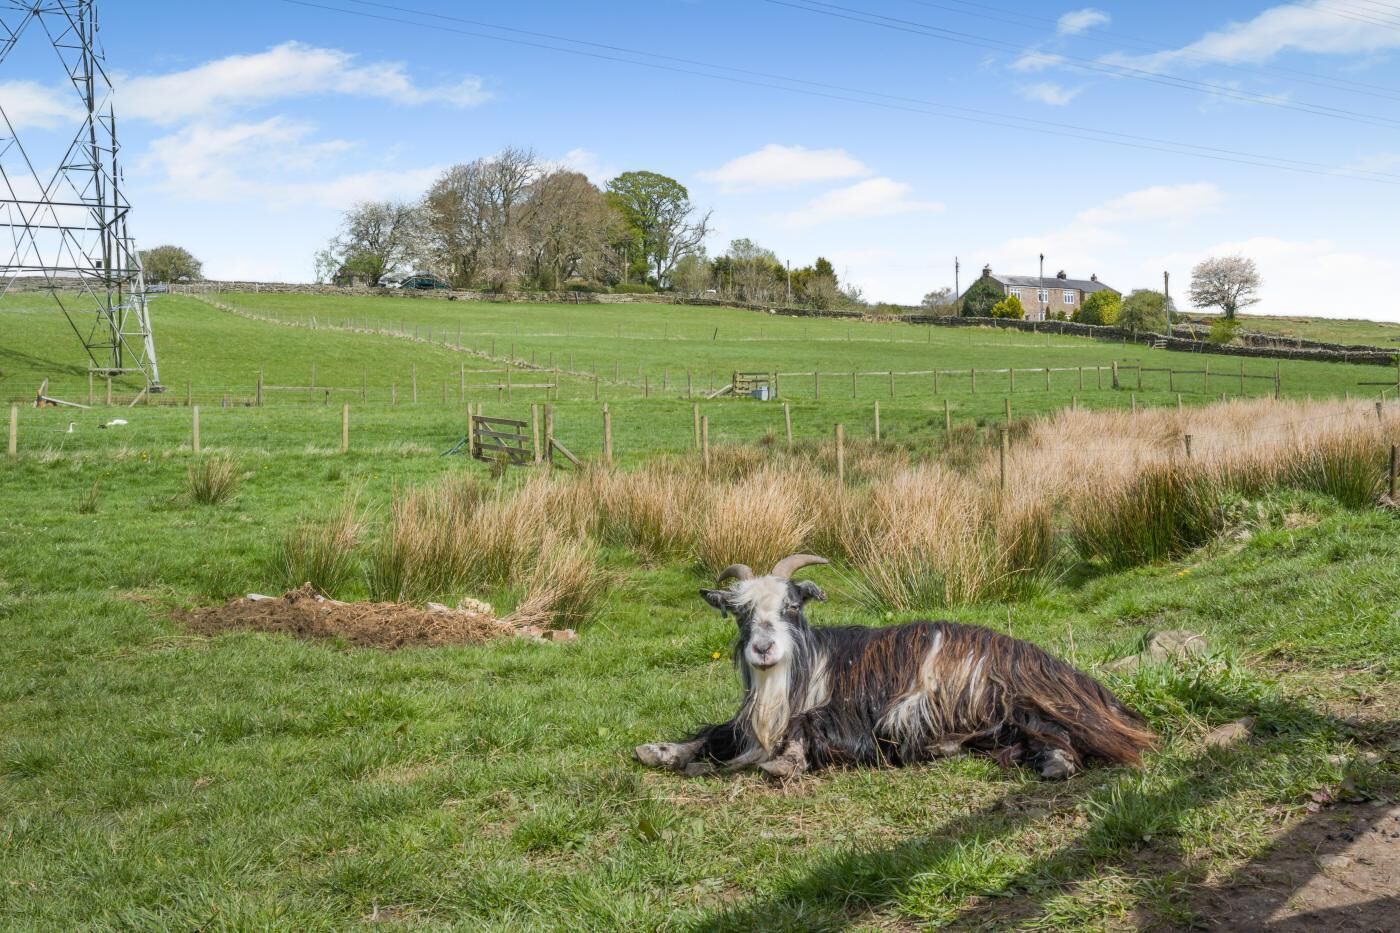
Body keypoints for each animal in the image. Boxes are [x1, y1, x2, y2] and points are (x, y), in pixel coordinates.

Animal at [635, 554, 1154, 780]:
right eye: (740, 612)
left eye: (791, 607)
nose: (762, 649)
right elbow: (714, 732)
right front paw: (660, 751)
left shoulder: (855, 719)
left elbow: (808, 724)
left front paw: (786, 761)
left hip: (990, 695)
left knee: (1047, 727)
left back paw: (1056, 762)